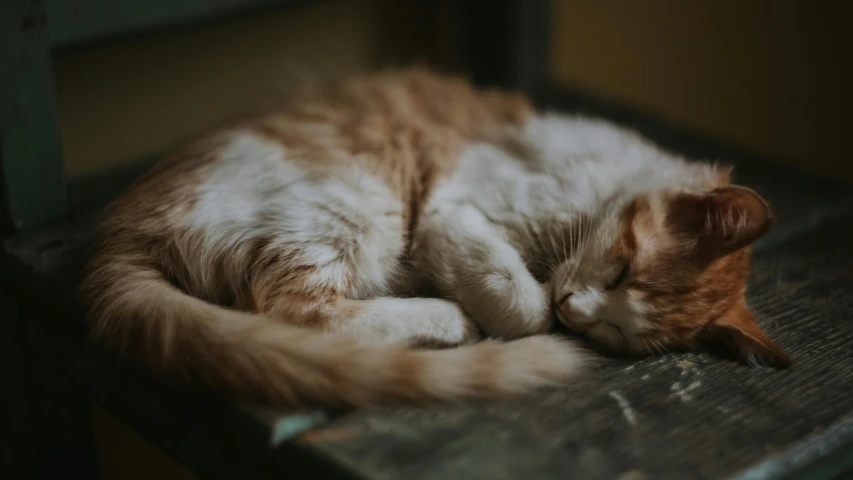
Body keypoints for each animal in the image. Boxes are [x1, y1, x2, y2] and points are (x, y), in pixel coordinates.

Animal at [81, 67, 792, 406]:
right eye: (620, 269)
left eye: (618, 334)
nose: (577, 312)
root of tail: (121, 232)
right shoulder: (454, 212)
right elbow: (523, 305)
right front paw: (523, 309)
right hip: (353, 204)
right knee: (295, 312)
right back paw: (448, 318)